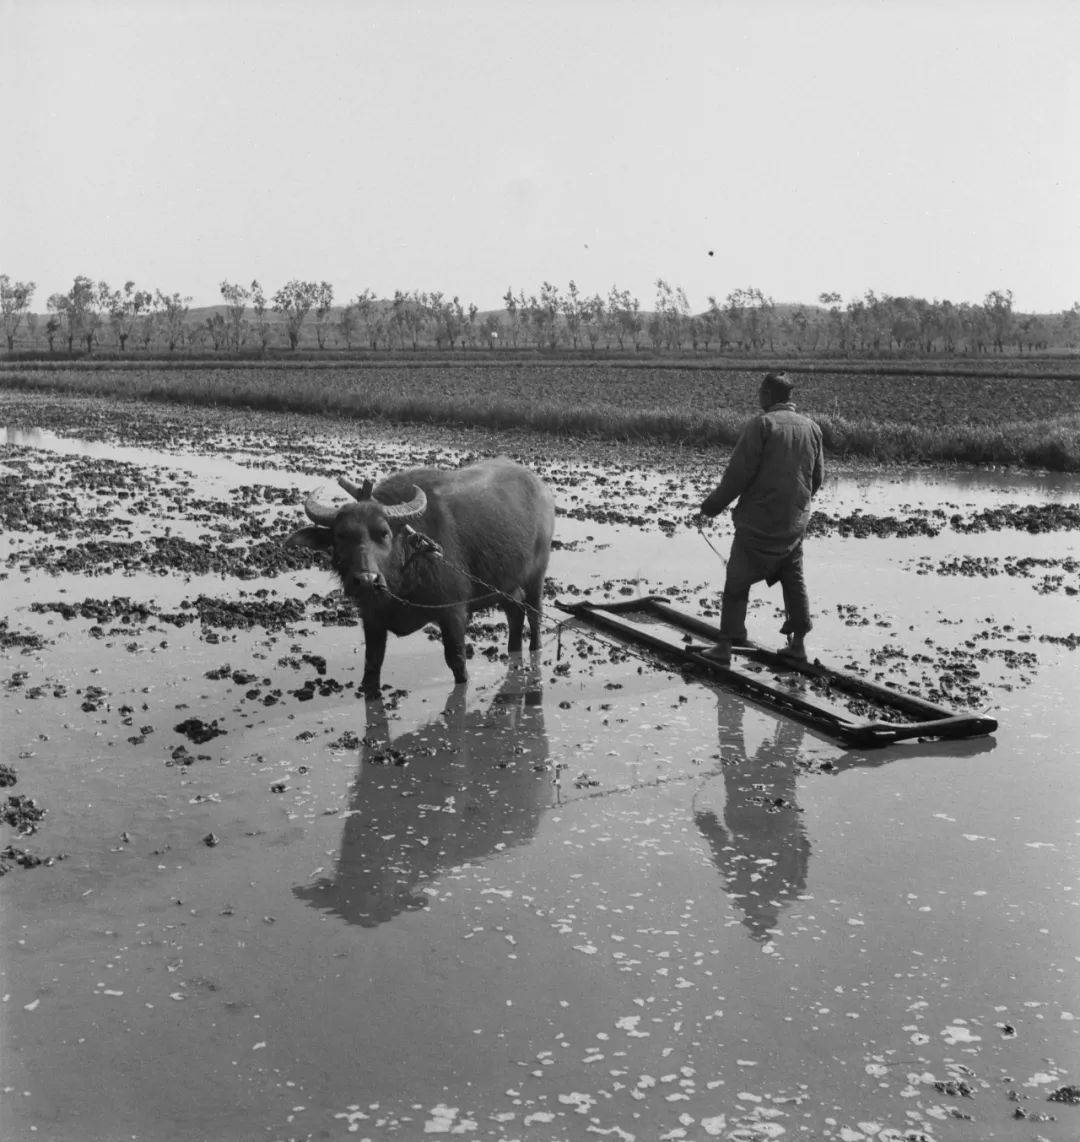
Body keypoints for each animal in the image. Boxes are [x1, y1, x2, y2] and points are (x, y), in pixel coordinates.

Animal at [284, 456, 554, 694]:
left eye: (383, 533)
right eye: (340, 536)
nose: (366, 581)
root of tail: (539, 487)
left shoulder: (453, 612)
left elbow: (457, 661)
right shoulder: (372, 618)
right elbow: (372, 665)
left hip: (536, 578)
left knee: (534, 615)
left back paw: (535, 650)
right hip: (506, 586)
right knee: (515, 615)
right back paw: (514, 653)